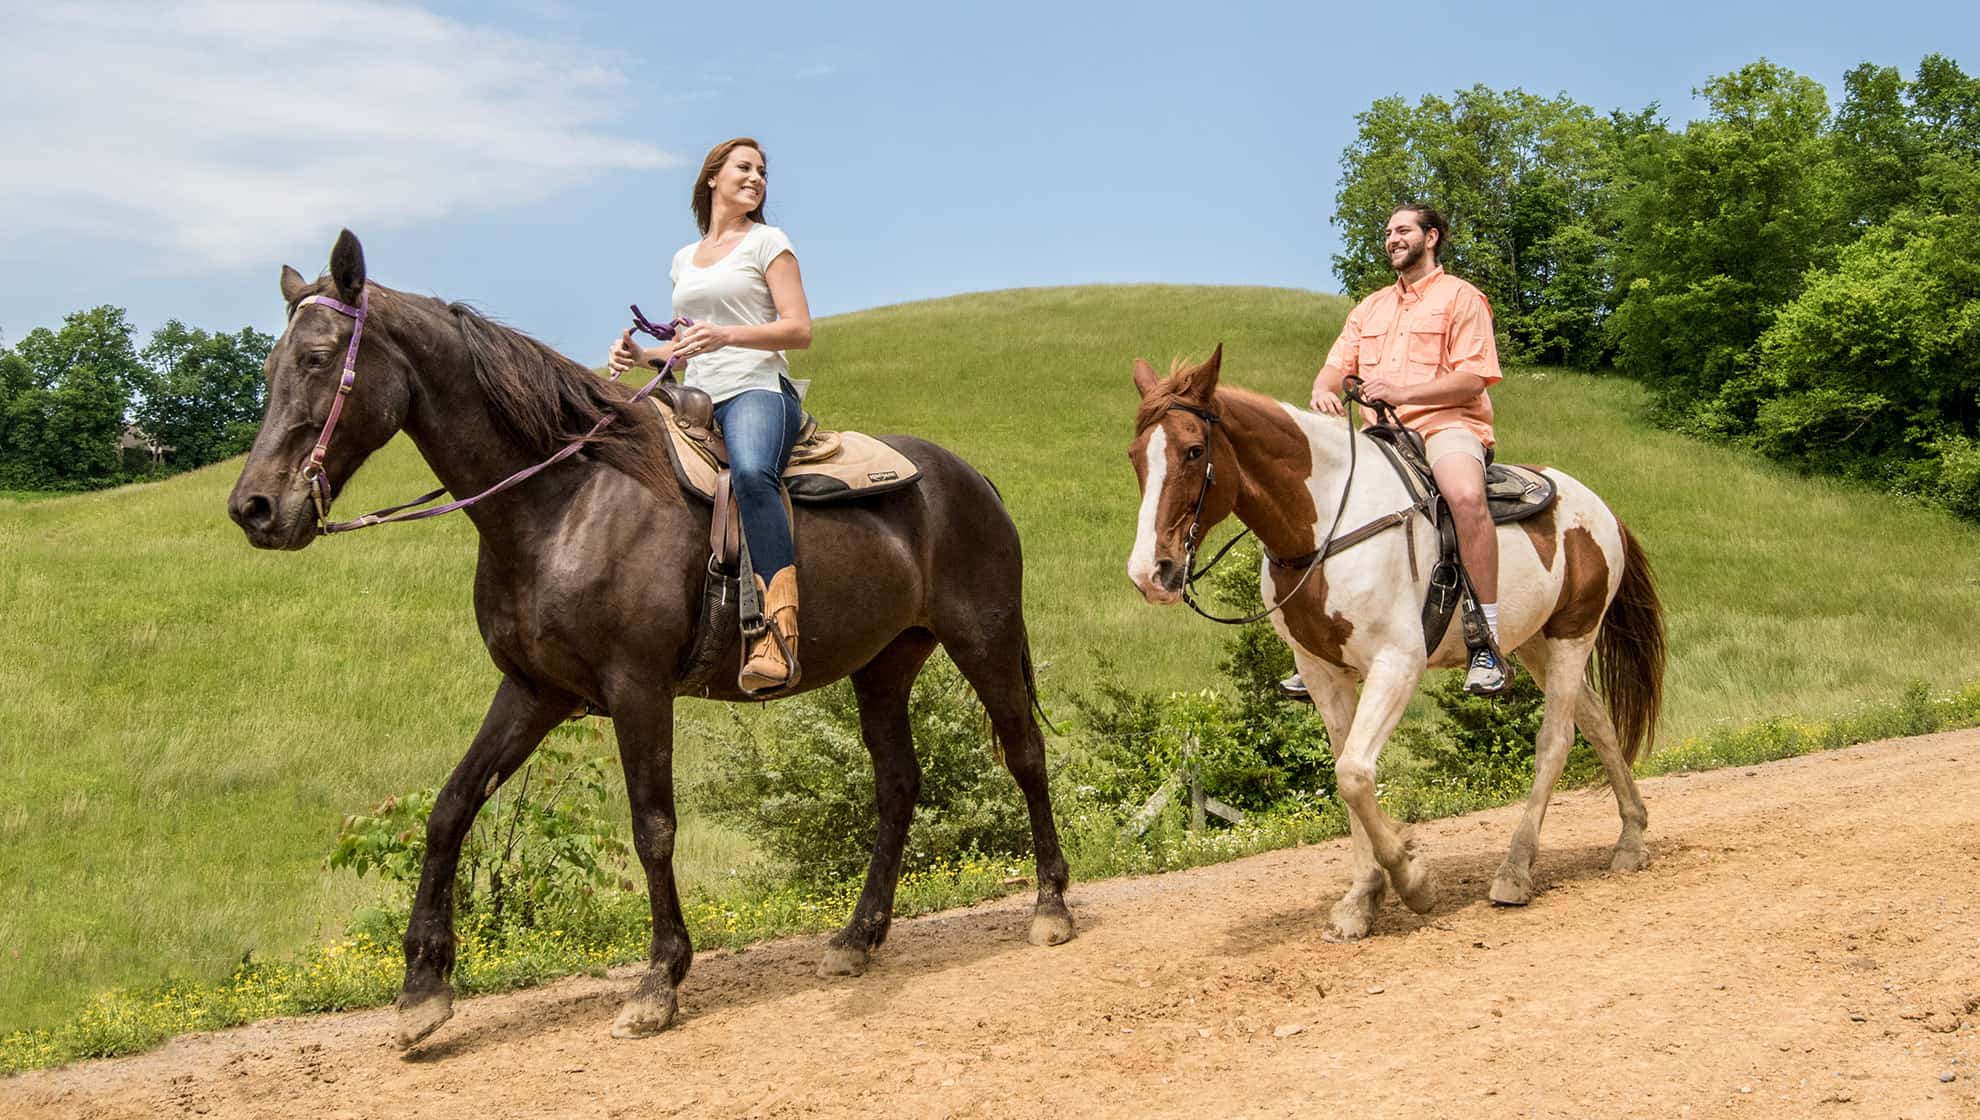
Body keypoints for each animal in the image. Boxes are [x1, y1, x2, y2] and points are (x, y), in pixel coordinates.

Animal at [227, 232, 1085, 1052]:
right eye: (268, 365)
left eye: (316, 359)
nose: (254, 508)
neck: (562, 502)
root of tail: (969, 477)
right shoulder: (534, 691)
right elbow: (450, 809)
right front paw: (422, 994)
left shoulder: (637, 689)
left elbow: (653, 828)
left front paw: (659, 982)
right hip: (883, 666)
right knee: (898, 784)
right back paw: (857, 937)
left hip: (984, 639)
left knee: (1023, 753)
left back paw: (1050, 906)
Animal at [1124, 346, 1663, 945]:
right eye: (1135, 457)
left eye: (1194, 451)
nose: (1151, 573)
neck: (1324, 528)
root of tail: (1600, 508)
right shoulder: (1322, 673)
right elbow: (1345, 772)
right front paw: (1361, 899)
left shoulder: (1397, 663)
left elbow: (1355, 774)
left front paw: (1412, 881)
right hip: (1537, 644)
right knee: (1597, 722)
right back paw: (1631, 839)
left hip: (1574, 633)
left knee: (1556, 741)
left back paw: (1515, 871)